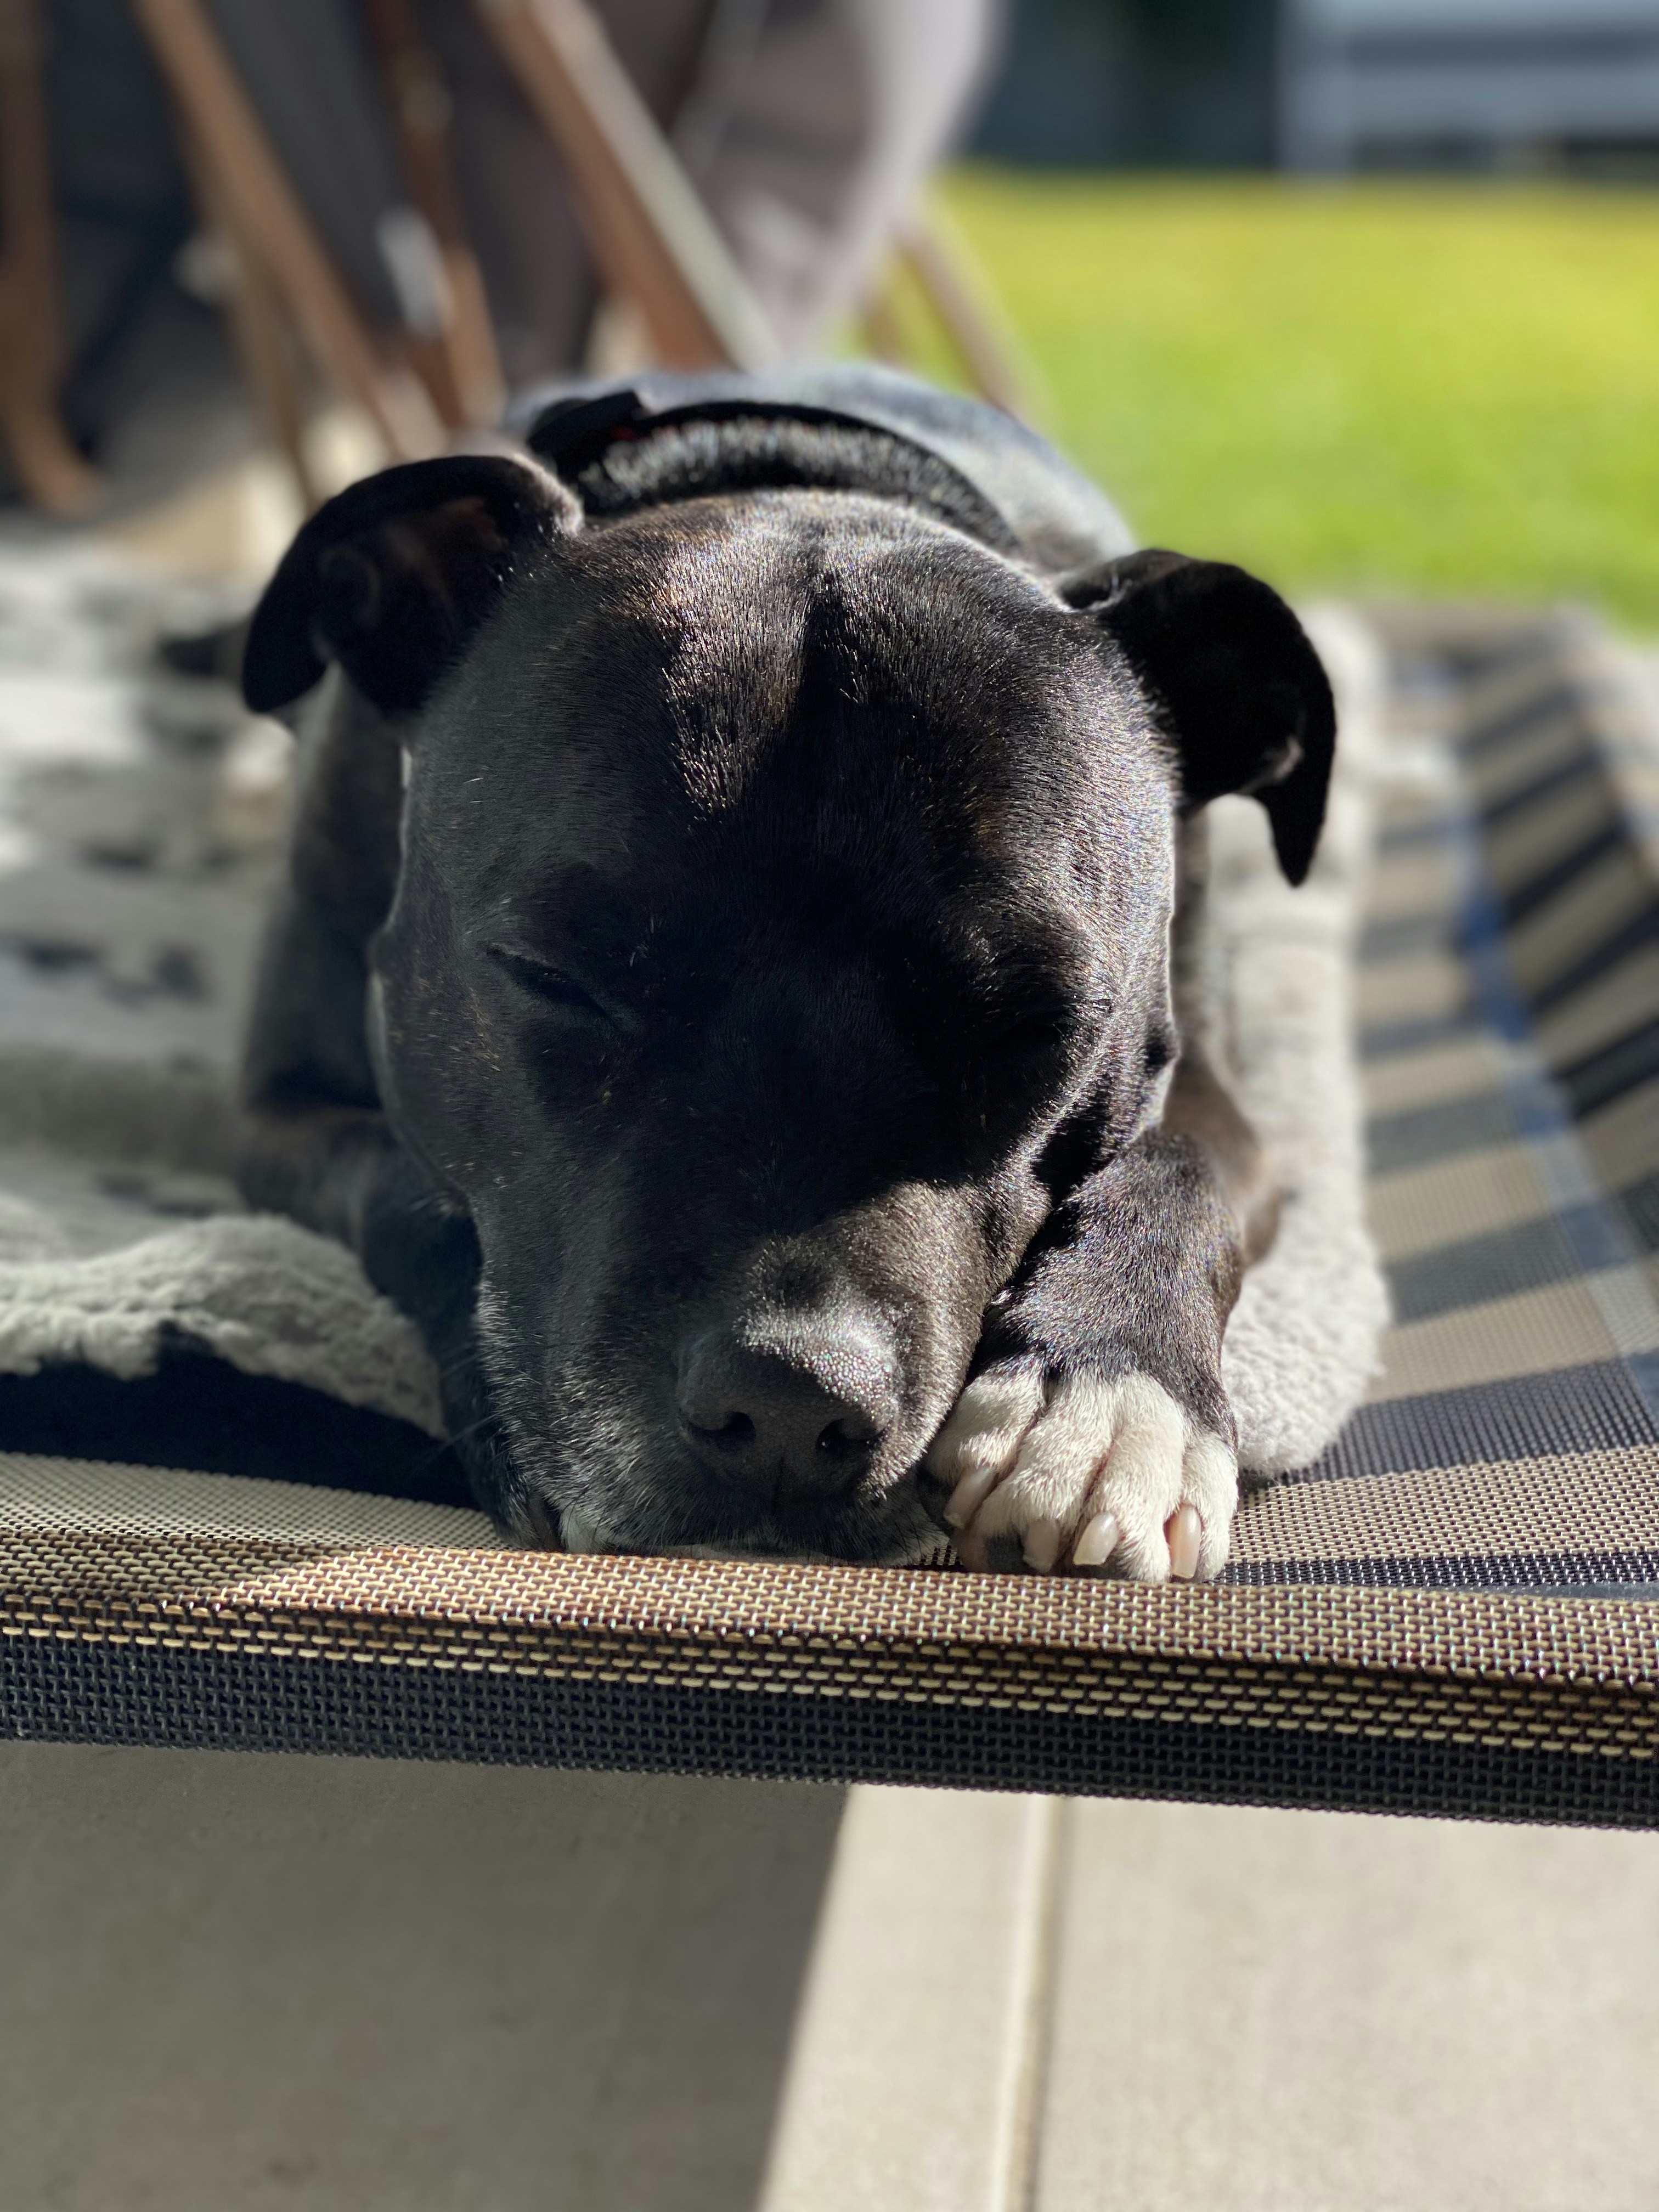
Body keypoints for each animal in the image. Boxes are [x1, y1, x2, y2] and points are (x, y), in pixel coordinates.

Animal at [236, 367, 1336, 1575]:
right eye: (552, 975)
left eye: (1037, 1025)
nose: (785, 1406)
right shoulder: (282, 1116)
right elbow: (407, 1197)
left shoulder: (1214, 1089)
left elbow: (1177, 1166)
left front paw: (1104, 1403)